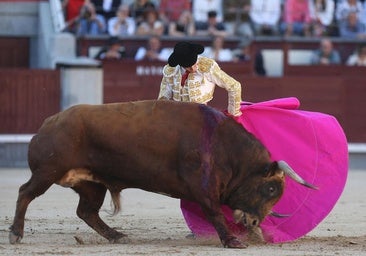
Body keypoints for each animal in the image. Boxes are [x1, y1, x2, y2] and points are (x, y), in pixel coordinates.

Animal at [7, 99, 314, 248]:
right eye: (271, 188)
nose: (254, 222)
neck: (226, 147)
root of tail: (48, 123)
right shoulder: (202, 186)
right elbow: (214, 212)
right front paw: (232, 242)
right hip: (48, 171)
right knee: (25, 193)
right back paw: (16, 234)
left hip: (92, 183)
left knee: (87, 211)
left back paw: (118, 236)